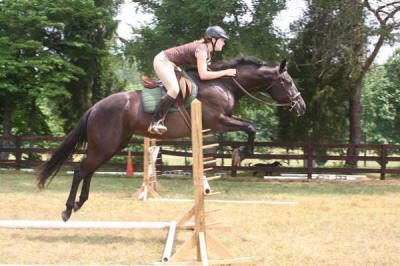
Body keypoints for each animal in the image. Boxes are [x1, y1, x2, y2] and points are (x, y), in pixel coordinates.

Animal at [37, 55, 306, 221]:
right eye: (287, 82)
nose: (301, 106)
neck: (225, 84)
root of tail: (95, 107)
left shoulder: (223, 120)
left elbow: (251, 126)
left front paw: (238, 155)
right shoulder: (219, 120)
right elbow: (251, 127)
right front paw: (239, 155)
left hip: (111, 146)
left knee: (88, 170)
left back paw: (80, 203)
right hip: (105, 145)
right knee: (80, 170)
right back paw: (68, 209)